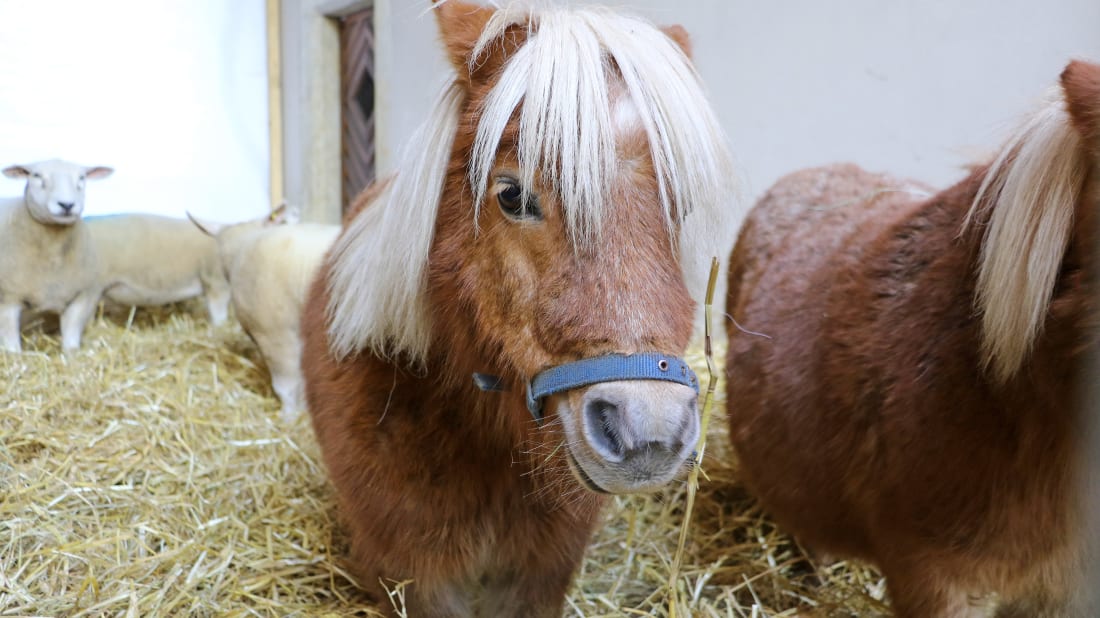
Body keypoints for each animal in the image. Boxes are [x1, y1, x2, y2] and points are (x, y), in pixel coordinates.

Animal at [0, 158, 112, 351]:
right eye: (36, 175)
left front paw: (72, 354)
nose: (66, 205)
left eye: (81, 177)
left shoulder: (82, 296)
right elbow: (10, 340)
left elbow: (72, 335)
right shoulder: (8, 299)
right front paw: (14, 355)